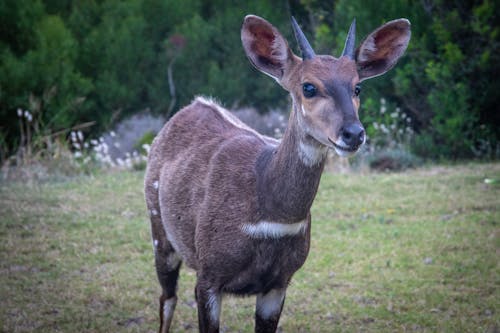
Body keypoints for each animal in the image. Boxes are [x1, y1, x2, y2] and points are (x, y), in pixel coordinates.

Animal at [145, 14, 410, 330]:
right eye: (308, 87)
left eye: (357, 88)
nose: (354, 134)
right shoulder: (208, 277)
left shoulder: (279, 283)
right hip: (160, 234)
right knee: (167, 298)